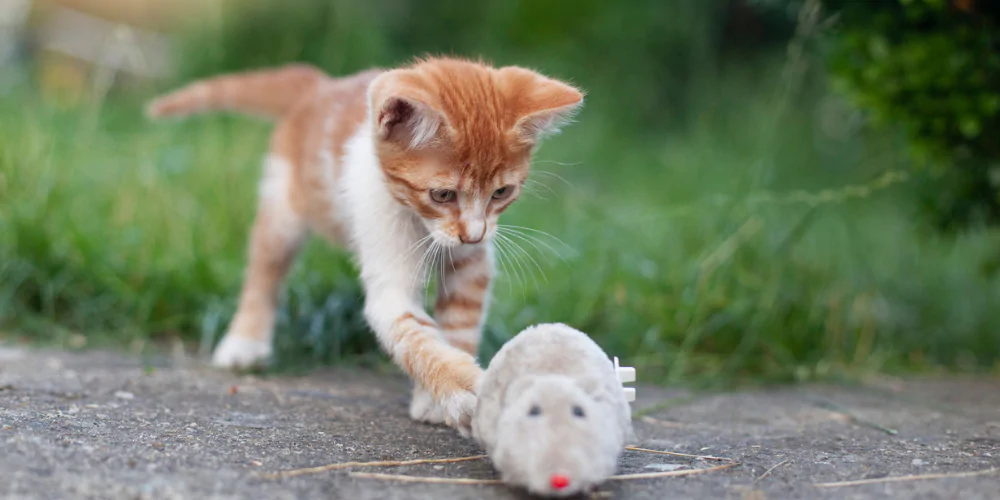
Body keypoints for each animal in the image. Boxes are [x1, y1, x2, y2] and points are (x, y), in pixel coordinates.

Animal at [149, 57, 584, 434]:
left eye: (501, 193)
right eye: (442, 194)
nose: (473, 233)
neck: (422, 223)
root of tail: (319, 85)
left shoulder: (472, 263)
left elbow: (460, 320)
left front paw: (437, 397)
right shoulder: (389, 263)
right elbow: (415, 336)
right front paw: (463, 389)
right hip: (284, 205)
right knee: (265, 267)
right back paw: (245, 341)